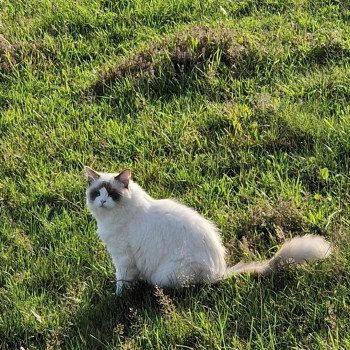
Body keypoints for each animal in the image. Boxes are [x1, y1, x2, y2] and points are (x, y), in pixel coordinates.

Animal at [84, 167, 330, 296]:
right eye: (97, 193)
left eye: (112, 194)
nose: (103, 201)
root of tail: (219, 272)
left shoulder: (123, 260)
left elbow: (121, 283)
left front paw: (117, 298)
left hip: (165, 275)